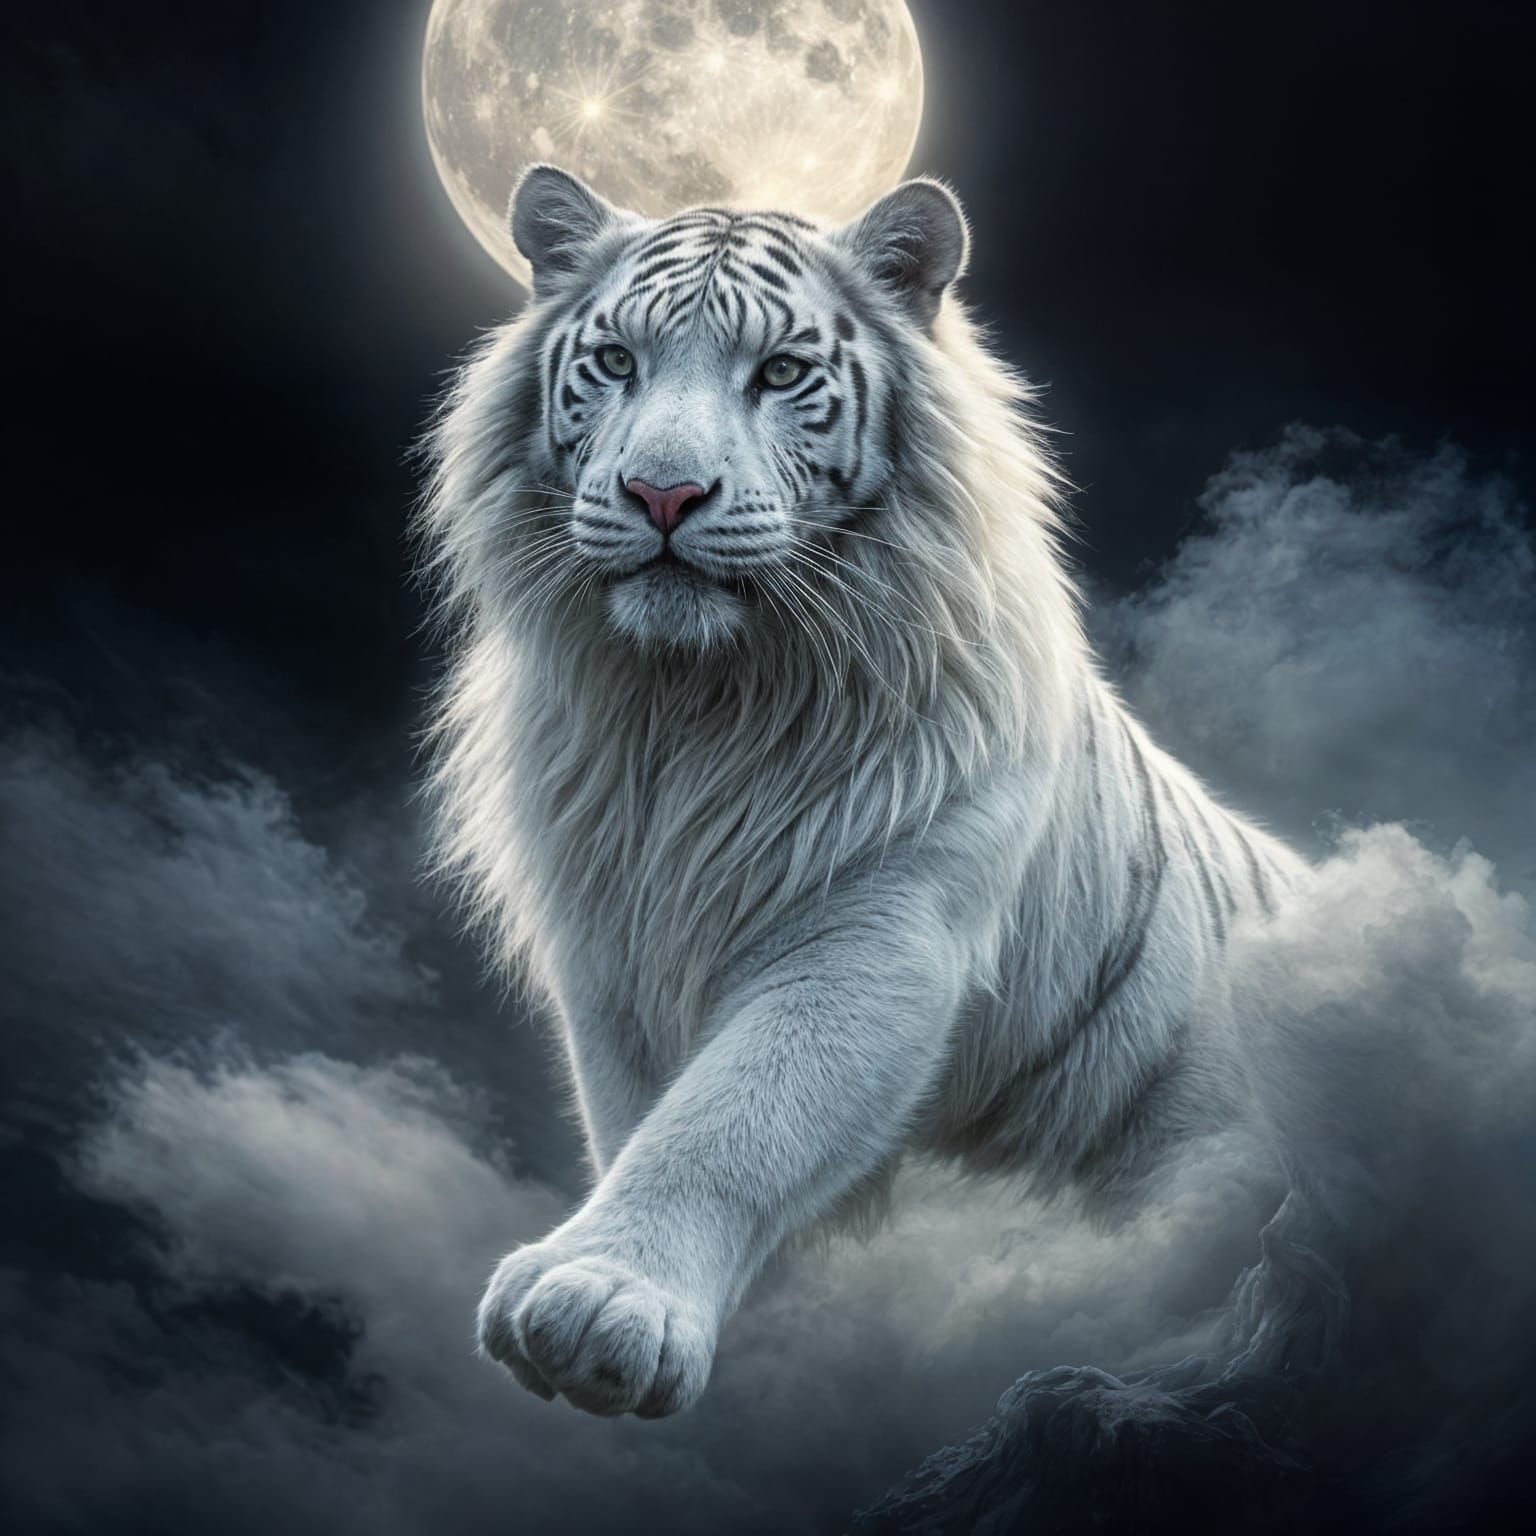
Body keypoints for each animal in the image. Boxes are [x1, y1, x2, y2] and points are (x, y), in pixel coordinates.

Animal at [419, 164, 1308, 1420]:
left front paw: (606, 1301)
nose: (661, 494)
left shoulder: (876, 933)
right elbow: (646, 1107)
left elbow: (729, 1116)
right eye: (618, 362)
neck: (693, 712)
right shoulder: (610, 940)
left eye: (781, 372)